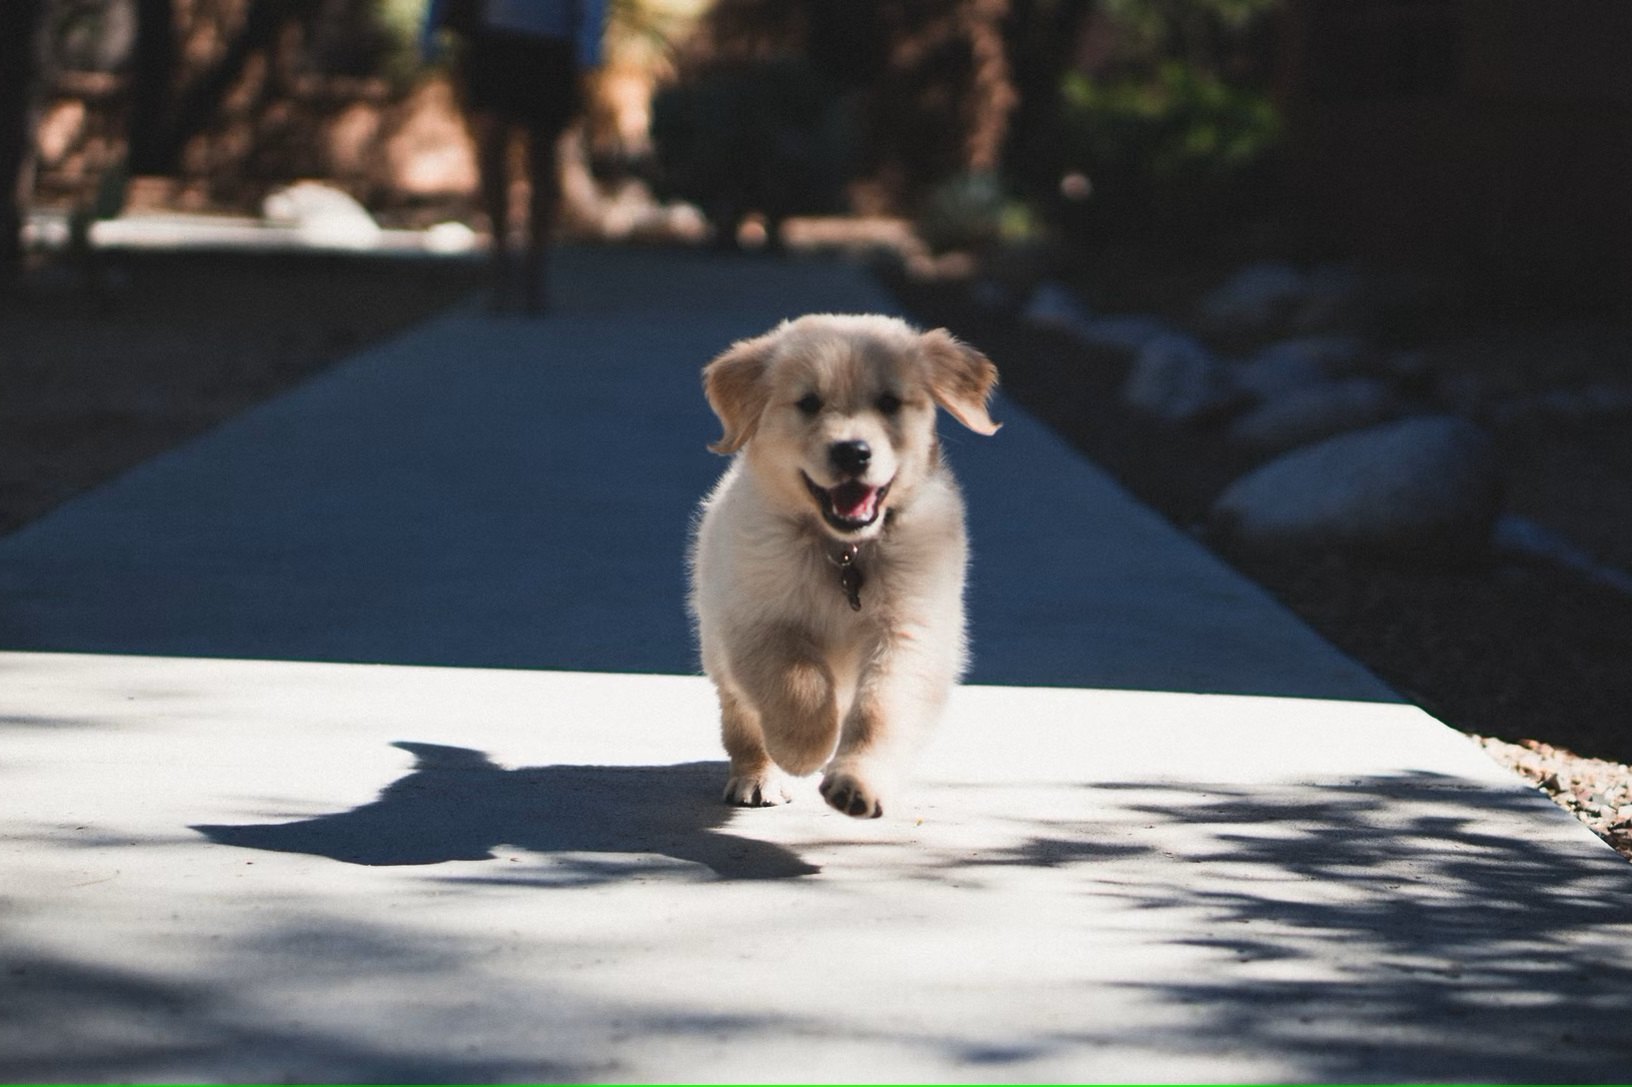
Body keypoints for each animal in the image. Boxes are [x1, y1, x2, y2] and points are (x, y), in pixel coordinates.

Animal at [685, 311, 998, 812]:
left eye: (889, 402)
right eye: (809, 403)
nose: (852, 452)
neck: (843, 550)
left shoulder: (910, 629)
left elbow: (881, 710)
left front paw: (858, 782)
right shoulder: (756, 620)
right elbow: (798, 682)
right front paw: (804, 747)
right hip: (716, 643)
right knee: (741, 718)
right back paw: (758, 776)